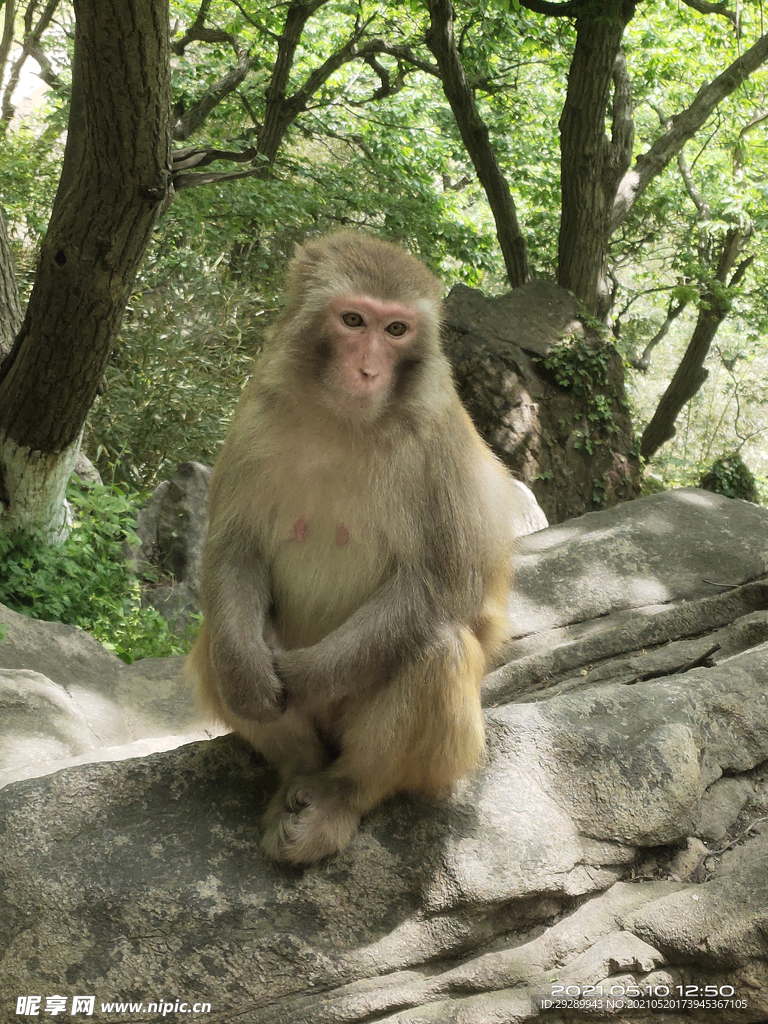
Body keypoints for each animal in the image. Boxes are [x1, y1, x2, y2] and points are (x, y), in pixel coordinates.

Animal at [187, 230, 524, 864]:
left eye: (395, 330)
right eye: (352, 320)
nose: (368, 369)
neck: (340, 421)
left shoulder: (439, 442)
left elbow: (445, 586)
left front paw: (307, 675)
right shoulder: (255, 414)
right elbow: (234, 551)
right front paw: (251, 674)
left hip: (439, 756)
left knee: (434, 648)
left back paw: (338, 795)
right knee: (218, 643)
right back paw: (296, 770)